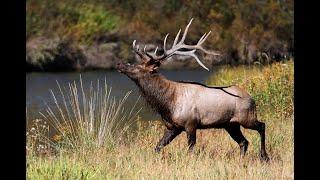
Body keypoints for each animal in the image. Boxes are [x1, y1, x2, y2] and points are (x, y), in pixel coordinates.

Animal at [116, 19, 268, 161]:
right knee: (244, 142)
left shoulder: (190, 123)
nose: (119, 64)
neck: (167, 103)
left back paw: (264, 156)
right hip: (231, 124)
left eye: (137, 67)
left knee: (262, 126)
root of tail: (252, 98)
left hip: (246, 117)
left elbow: (190, 149)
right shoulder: (173, 127)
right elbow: (158, 147)